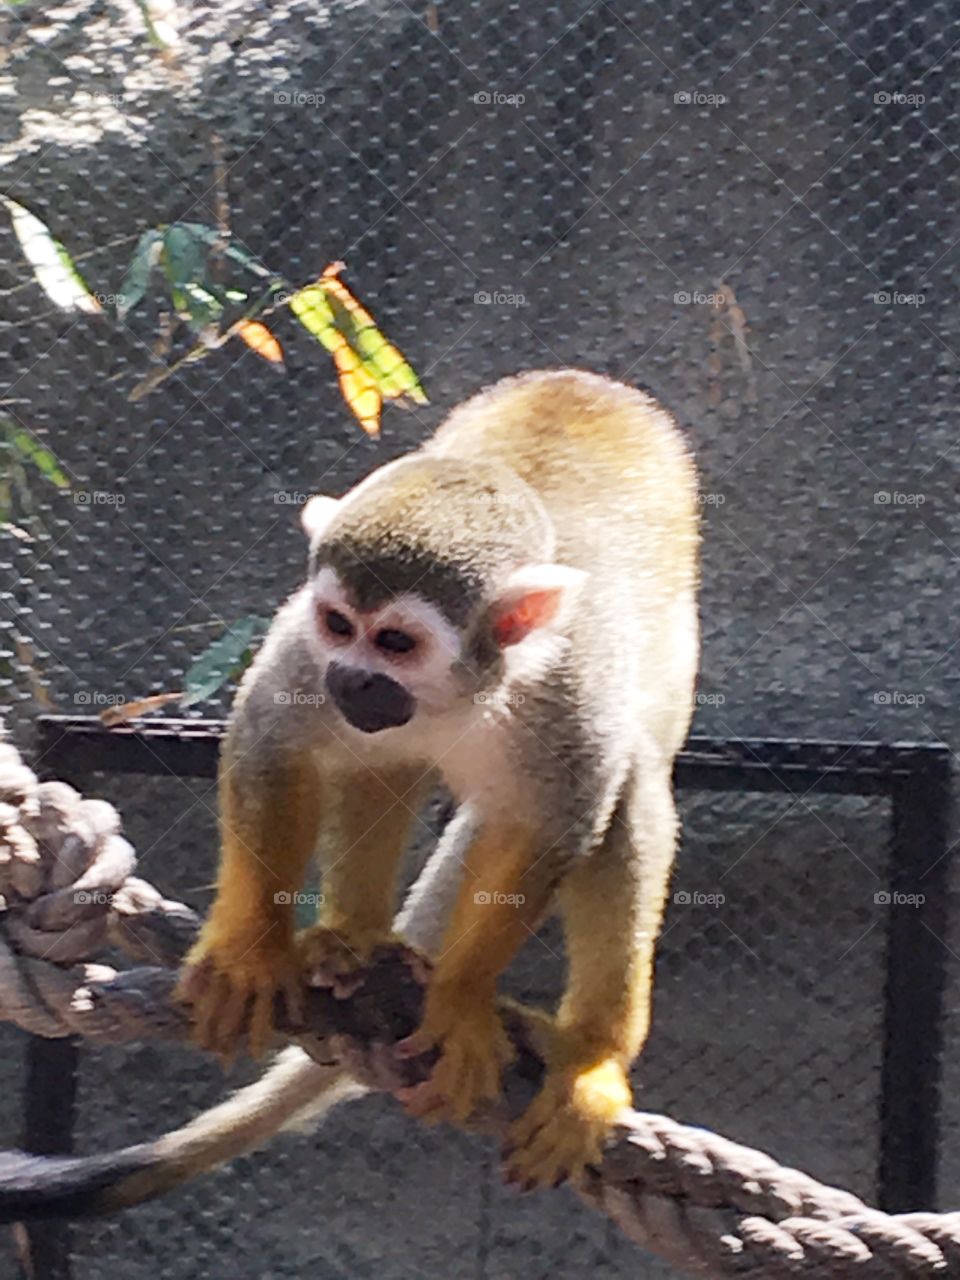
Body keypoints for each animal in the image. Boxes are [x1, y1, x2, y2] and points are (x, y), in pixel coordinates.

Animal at [0, 368, 698, 1216]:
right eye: (339, 623)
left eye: (395, 641)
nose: (355, 679)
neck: (459, 690)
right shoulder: (306, 644)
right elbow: (274, 737)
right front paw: (252, 952)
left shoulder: (570, 684)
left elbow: (557, 823)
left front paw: (461, 1000)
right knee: (379, 764)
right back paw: (354, 941)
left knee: (630, 791)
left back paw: (590, 1056)